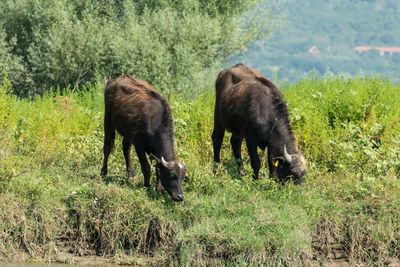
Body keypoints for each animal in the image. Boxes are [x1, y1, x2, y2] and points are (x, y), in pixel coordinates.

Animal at [101, 74, 186, 202]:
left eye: (182, 178)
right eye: (172, 176)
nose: (179, 197)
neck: (156, 123)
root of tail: (116, 80)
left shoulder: (155, 151)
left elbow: (158, 170)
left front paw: (159, 190)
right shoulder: (139, 144)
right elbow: (146, 167)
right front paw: (147, 186)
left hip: (128, 132)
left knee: (126, 149)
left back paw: (130, 176)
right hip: (108, 120)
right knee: (107, 147)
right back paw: (104, 173)